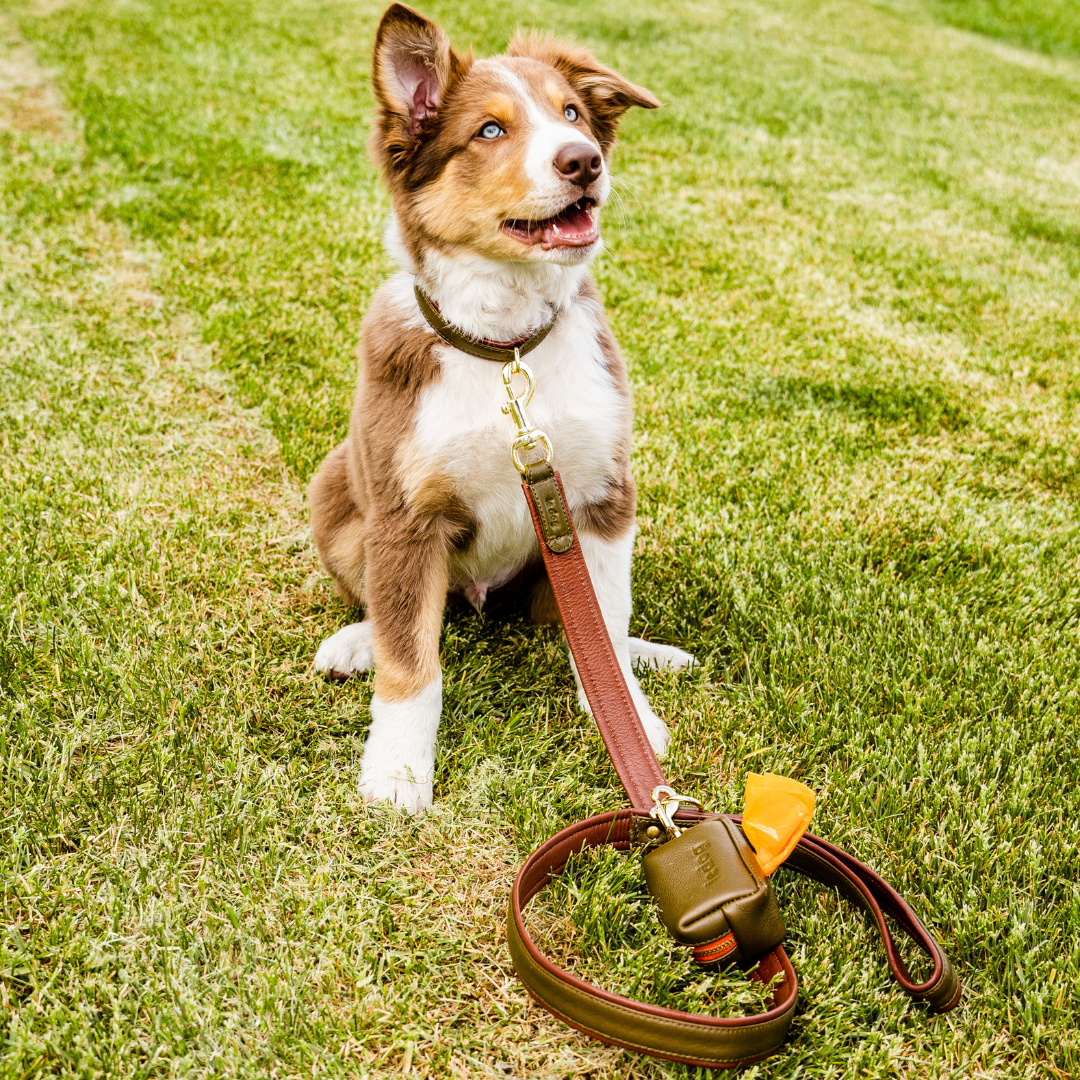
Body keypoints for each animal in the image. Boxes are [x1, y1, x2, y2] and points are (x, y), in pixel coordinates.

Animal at [308, 2, 695, 812]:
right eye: (489, 131)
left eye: (572, 113)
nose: (584, 160)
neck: (505, 348)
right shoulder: (405, 513)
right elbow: (411, 662)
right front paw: (398, 772)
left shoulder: (601, 497)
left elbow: (603, 628)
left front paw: (627, 718)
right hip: (335, 489)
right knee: (388, 610)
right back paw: (355, 643)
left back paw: (648, 654)